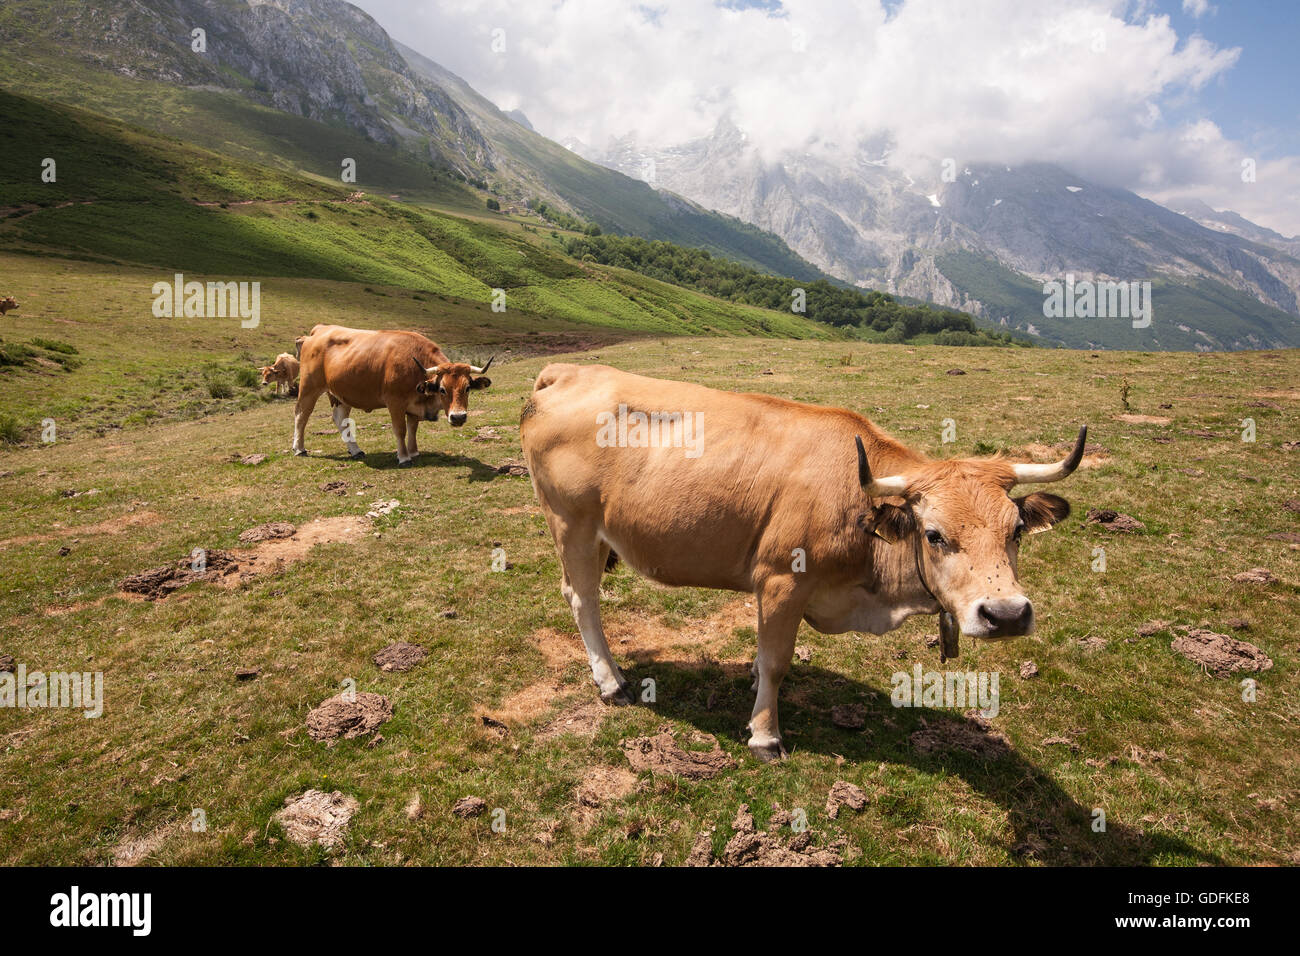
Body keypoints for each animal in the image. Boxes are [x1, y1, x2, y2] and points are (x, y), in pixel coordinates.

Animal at [295, 325, 491, 468]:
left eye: (467, 388)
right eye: (442, 389)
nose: (458, 417)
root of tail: (319, 330)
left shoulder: (414, 405)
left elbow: (413, 429)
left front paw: (414, 452)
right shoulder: (395, 403)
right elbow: (400, 430)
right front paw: (404, 457)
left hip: (342, 394)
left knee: (339, 419)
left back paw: (356, 450)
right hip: (309, 388)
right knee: (301, 416)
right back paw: (299, 448)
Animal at [520, 364, 1086, 764]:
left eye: (1016, 530)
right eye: (934, 534)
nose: (1006, 615)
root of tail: (569, 372)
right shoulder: (781, 579)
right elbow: (777, 661)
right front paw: (765, 734)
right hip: (571, 523)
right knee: (582, 599)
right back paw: (611, 681)